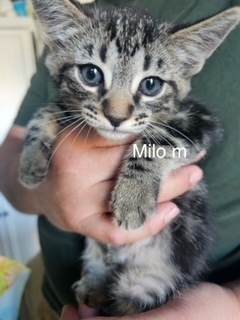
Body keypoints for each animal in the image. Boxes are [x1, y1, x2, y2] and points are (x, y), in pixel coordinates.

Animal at [18, 0, 240, 316]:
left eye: (151, 85)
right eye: (90, 74)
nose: (116, 117)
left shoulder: (201, 119)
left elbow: (158, 141)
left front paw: (133, 197)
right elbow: (44, 112)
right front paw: (31, 162)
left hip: (149, 281)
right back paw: (94, 288)